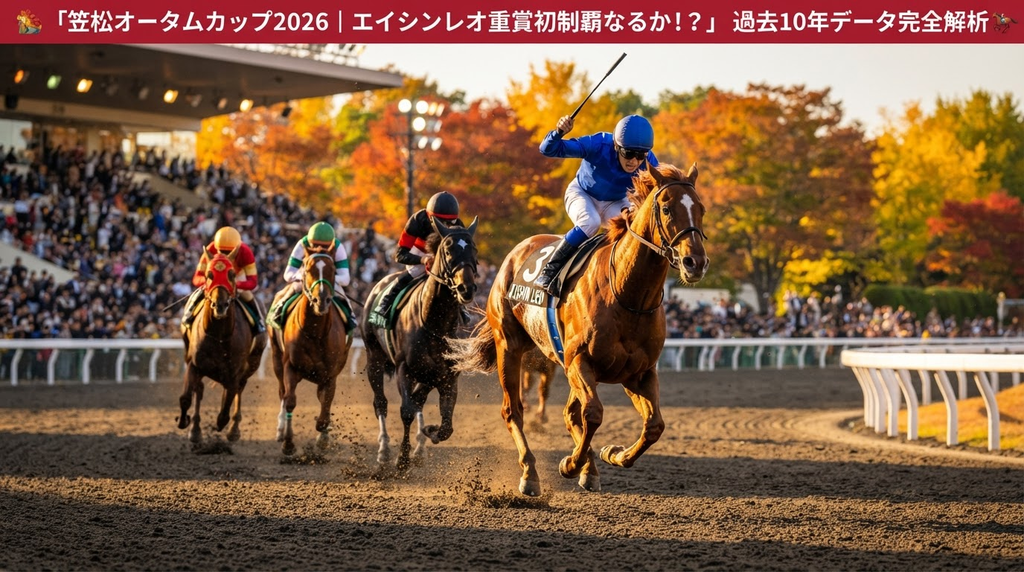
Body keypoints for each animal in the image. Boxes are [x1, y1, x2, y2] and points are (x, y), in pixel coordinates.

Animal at [179, 252, 268, 445]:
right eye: (209, 274)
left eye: (232, 274)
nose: (220, 305)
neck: (218, 336)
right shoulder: (194, 365)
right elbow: (186, 398)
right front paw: (184, 421)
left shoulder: (235, 372)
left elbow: (225, 410)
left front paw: (224, 425)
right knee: (199, 390)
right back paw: (195, 430)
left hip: (251, 364)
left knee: (238, 391)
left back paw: (233, 430)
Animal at [269, 245, 353, 455]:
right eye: (307, 269)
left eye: (333, 270)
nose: (320, 299)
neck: (315, 332)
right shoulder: (290, 367)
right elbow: (290, 400)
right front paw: (288, 443)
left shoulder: (330, 374)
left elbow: (325, 408)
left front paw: (323, 439)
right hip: (276, 356)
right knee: (282, 392)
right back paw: (280, 429)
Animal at [360, 218, 479, 470]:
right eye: (448, 250)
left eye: (474, 249)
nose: (466, 288)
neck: (435, 323)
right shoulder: (404, 368)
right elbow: (406, 410)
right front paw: (402, 458)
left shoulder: (446, 376)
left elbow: (445, 425)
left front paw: (429, 432)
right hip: (374, 356)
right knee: (381, 403)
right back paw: (384, 451)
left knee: (417, 401)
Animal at [448, 164, 709, 496]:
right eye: (666, 207)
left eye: (700, 208)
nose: (695, 262)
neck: (627, 294)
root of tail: (517, 251)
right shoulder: (579, 361)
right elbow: (593, 413)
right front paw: (571, 464)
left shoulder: (639, 372)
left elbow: (654, 425)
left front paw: (613, 453)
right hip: (509, 345)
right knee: (513, 410)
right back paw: (531, 473)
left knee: (570, 412)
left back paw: (588, 468)